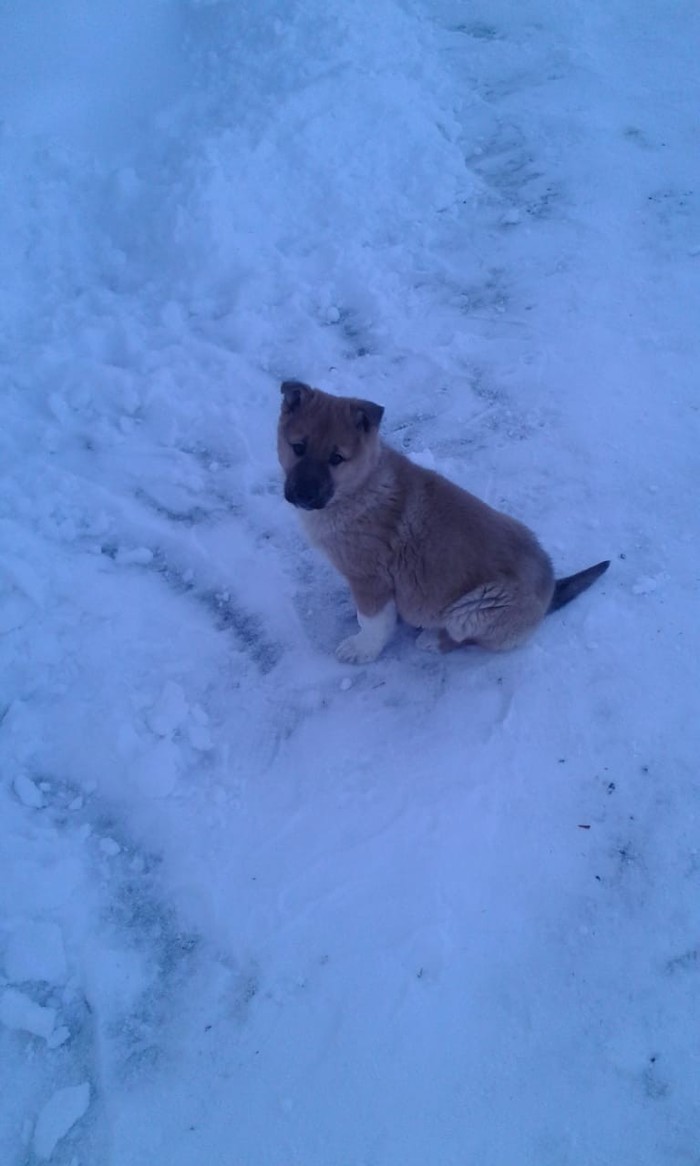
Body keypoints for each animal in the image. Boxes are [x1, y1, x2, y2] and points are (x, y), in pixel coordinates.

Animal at [277, 377, 606, 662]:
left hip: (476, 606)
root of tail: (551, 589)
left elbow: (373, 620)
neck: (361, 487)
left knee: (467, 638)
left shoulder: (371, 577)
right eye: (298, 448)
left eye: (336, 459)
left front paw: (362, 649)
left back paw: (433, 640)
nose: (303, 495)